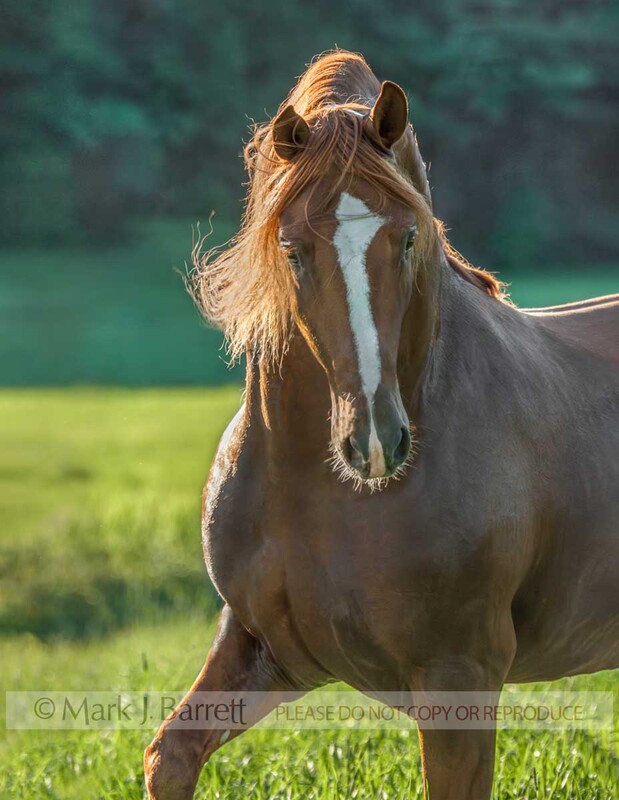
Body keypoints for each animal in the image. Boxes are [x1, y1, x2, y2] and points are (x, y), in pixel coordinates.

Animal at [144, 50, 619, 799]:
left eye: (407, 237)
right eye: (293, 248)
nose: (373, 442)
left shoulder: (459, 680)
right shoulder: (264, 647)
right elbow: (170, 756)